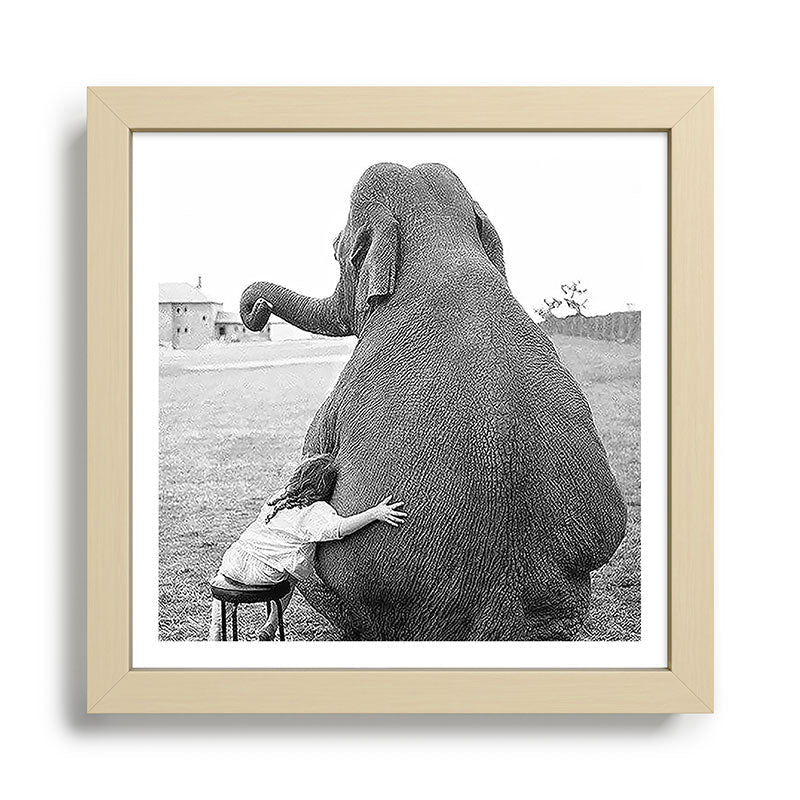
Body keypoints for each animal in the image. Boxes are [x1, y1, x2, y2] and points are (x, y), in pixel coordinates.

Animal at [240, 162, 627, 640]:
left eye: (335, 249)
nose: (255, 308)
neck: (441, 243)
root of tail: (500, 616)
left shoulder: (339, 396)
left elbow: (314, 457)